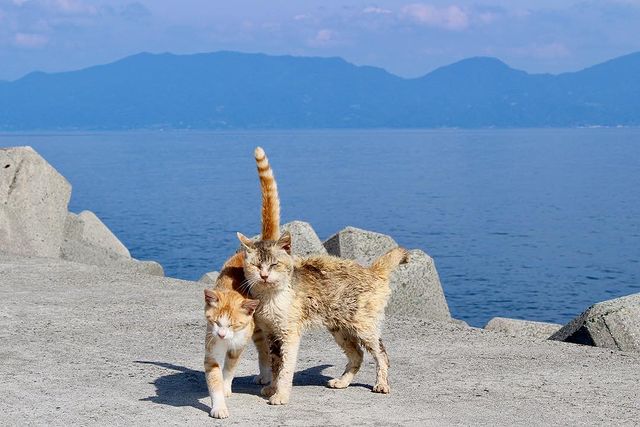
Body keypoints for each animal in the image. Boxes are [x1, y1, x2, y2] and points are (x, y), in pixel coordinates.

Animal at [202, 290, 258, 420]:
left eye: (232, 325)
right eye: (216, 322)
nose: (221, 335)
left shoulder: (237, 347)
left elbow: (229, 368)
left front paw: (225, 387)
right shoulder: (212, 345)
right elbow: (214, 378)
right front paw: (219, 407)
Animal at [236, 229, 410, 406]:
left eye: (274, 264)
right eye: (256, 265)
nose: (264, 276)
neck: (271, 298)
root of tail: (372, 271)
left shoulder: (289, 335)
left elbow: (285, 369)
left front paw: (281, 395)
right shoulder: (271, 334)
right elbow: (275, 366)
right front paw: (272, 388)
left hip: (364, 327)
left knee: (382, 355)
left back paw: (381, 384)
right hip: (340, 330)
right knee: (358, 355)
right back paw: (342, 382)